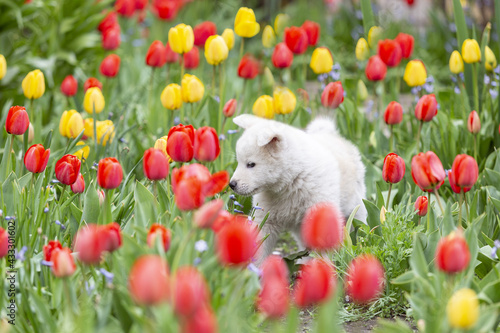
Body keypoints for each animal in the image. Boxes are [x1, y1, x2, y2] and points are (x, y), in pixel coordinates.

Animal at [230, 115, 368, 264]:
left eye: (251, 164)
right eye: (239, 162)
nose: (231, 184)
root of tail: (331, 134)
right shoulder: (266, 218)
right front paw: (254, 267)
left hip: (356, 207)